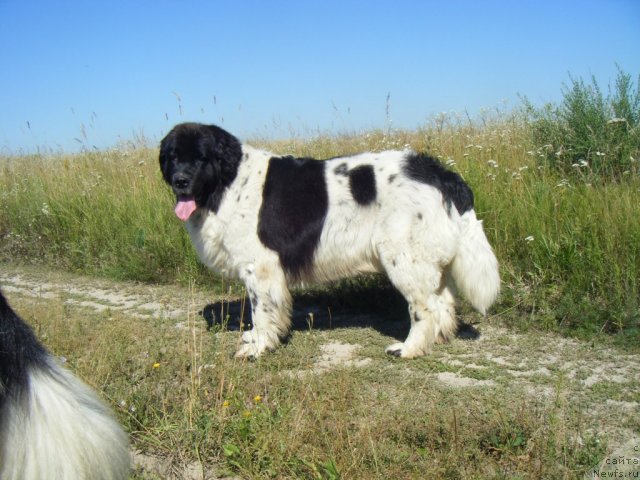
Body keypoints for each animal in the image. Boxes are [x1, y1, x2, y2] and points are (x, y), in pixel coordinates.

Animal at [160, 124, 500, 360]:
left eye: (201, 159)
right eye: (173, 157)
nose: (180, 181)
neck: (229, 181)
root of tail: (438, 172)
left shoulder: (260, 266)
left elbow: (262, 310)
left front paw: (258, 347)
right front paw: (254, 338)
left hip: (404, 259)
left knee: (424, 308)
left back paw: (409, 349)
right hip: (428, 260)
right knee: (443, 302)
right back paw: (437, 340)